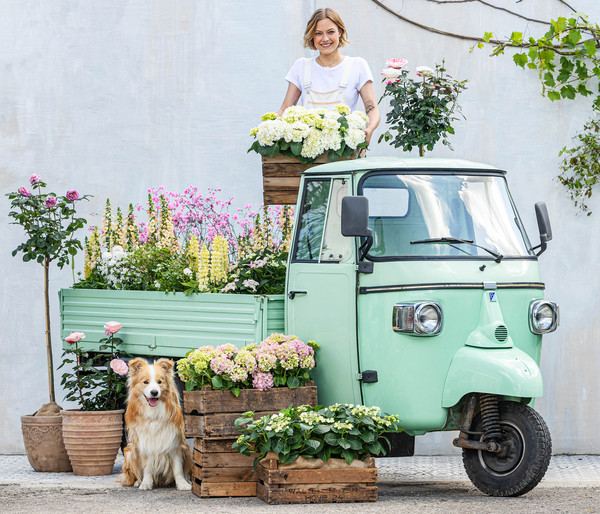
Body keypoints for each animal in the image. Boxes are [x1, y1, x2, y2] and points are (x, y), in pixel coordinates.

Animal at [118, 356, 191, 488]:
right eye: (145, 382)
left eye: (159, 382)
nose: (154, 392)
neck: (154, 412)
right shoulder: (145, 443)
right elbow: (147, 467)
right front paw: (146, 483)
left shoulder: (174, 443)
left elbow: (178, 468)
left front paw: (182, 484)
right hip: (130, 451)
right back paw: (138, 482)